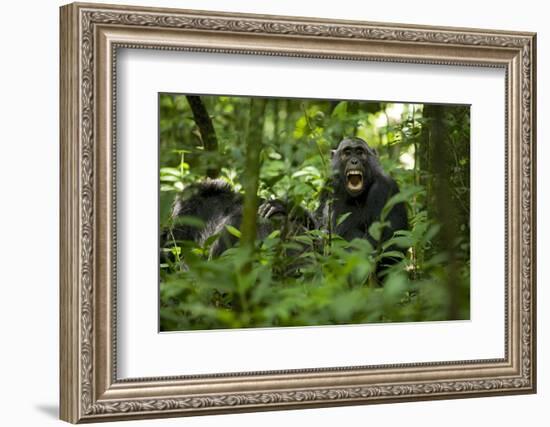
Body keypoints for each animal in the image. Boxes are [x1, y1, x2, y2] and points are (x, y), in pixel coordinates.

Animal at [320, 138, 410, 268]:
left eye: (359, 152)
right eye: (347, 153)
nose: (354, 161)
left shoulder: (385, 187)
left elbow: (388, 240)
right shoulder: (328, 184)